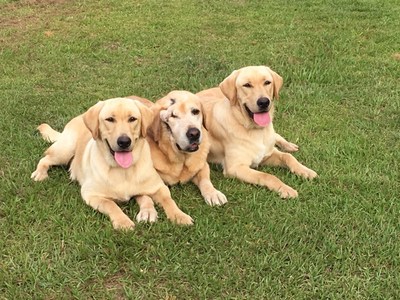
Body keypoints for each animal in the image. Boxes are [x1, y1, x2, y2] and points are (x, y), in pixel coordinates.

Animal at [31, 97, 194, 229]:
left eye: (132, 119)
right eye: (109, 119)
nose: (124, 141)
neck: (123, 171)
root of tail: (78, 117)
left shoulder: (158, 187)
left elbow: (167, 200)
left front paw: (179, 216)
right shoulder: (91, 194)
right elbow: (111, 204)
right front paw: (123, 222)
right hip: (65, 150)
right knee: (45, 158)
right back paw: (40, 173)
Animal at [195, 65, 318, 199]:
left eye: (267, 82)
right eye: (247, 85)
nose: (264, 102)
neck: (256, 131)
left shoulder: (267, 154)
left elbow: (287, 157)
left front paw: (304, 170)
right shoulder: (235, 167)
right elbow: (267, 175)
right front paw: (285, 189)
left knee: (277, 137)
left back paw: (288, 145)